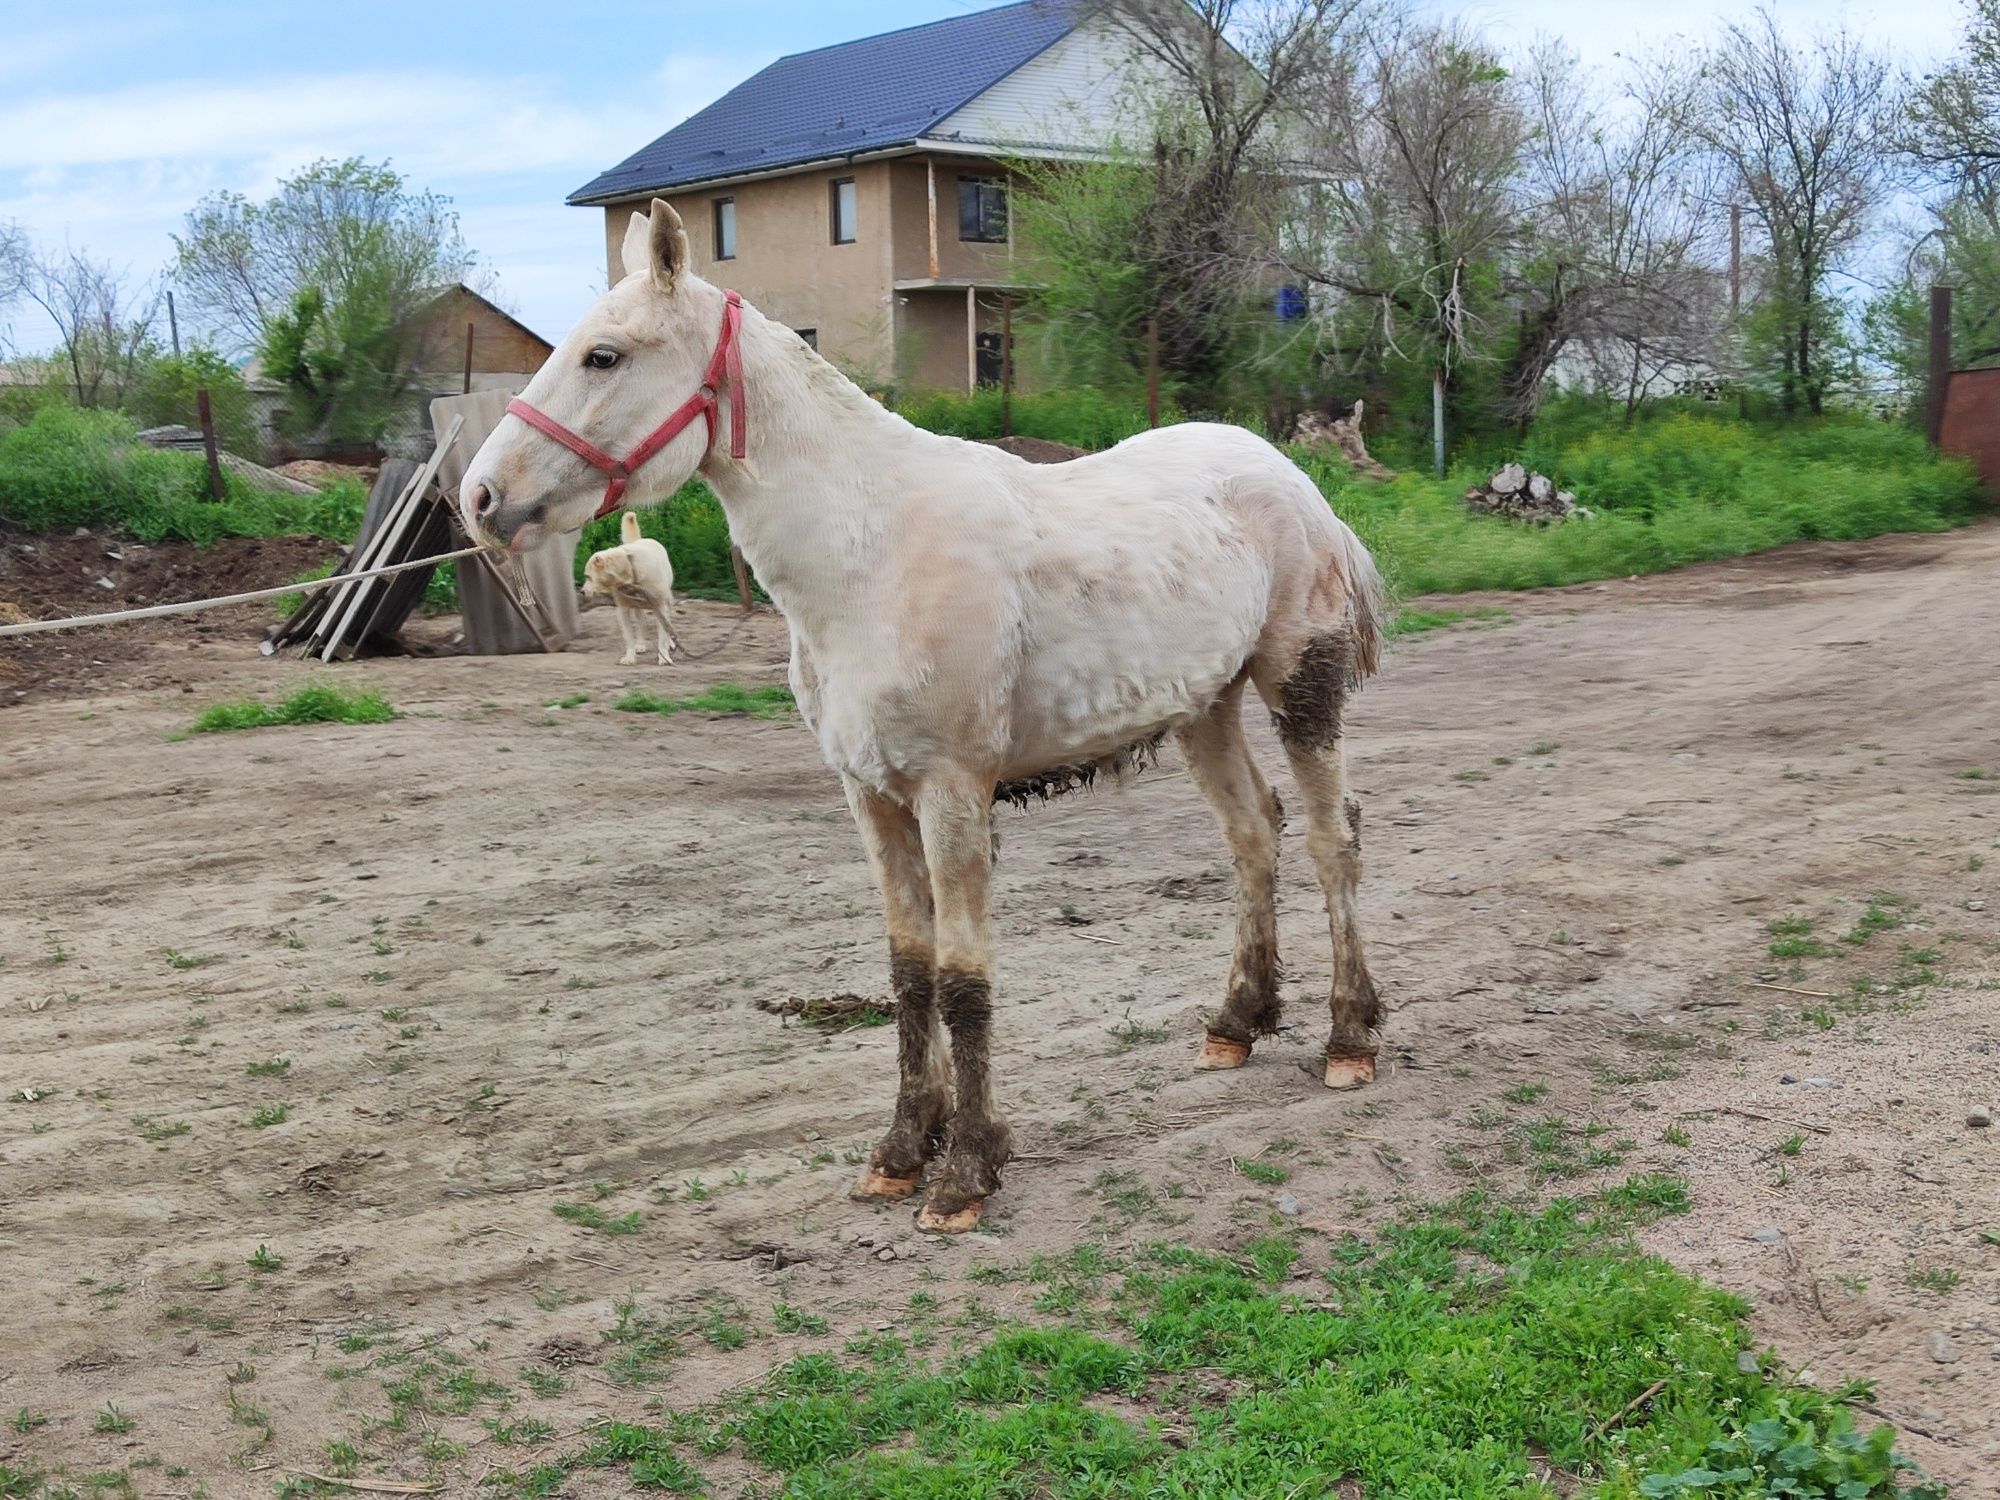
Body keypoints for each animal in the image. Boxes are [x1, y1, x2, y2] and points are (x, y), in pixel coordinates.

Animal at [580, 512, 680, 664]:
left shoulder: (660, 605)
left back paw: (670, 643)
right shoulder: (623, 609)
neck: (631, 575)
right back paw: (641, 645)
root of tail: (640, 540)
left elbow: (662, 636)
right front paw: (629, 658)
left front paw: (664, 657)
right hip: (638, 606)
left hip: (667, 601)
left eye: (588, 576)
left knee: (667, 623)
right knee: (640, 622)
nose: (582, 591)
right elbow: (629, 637)